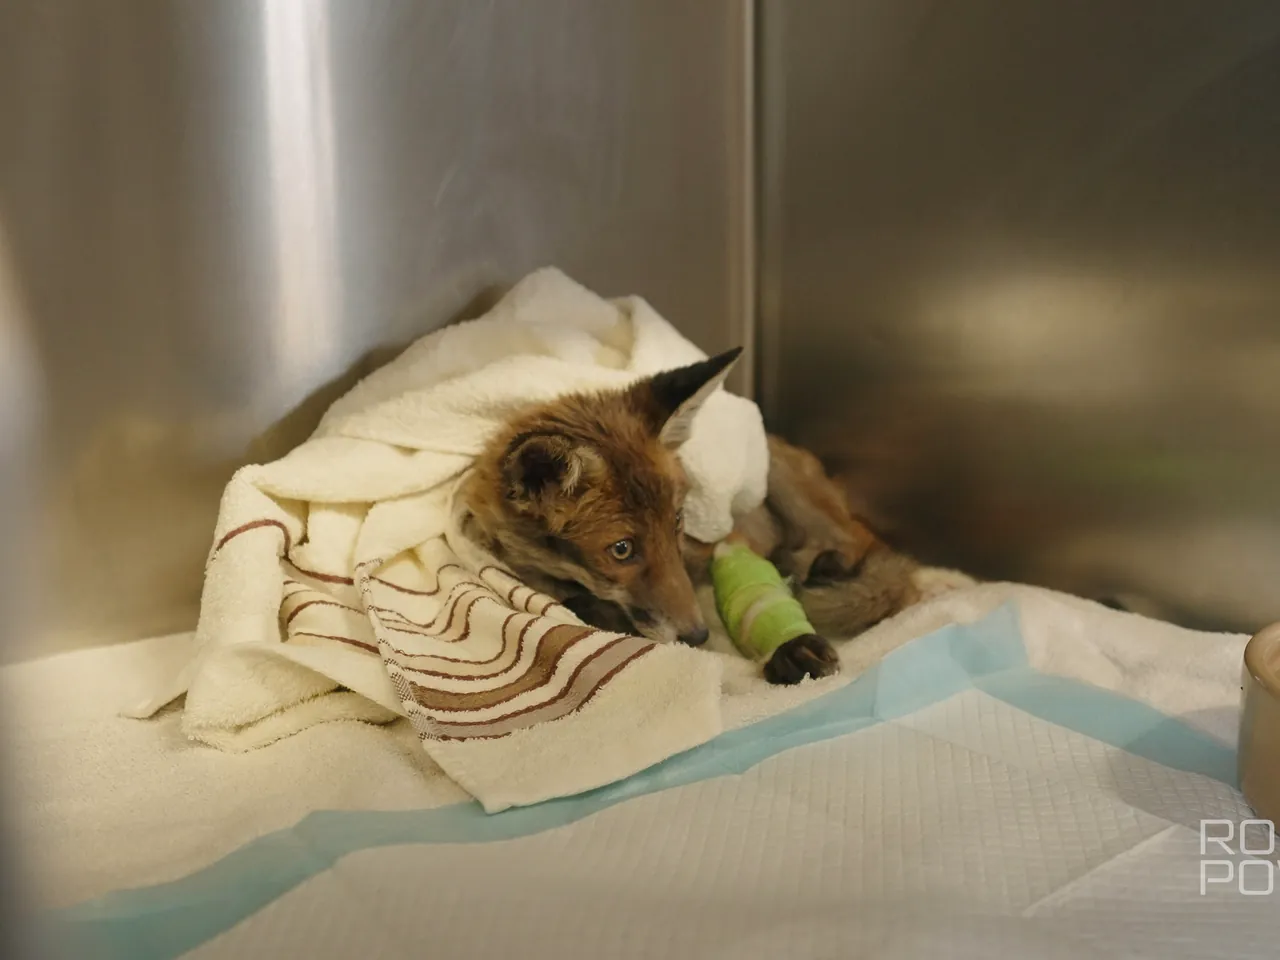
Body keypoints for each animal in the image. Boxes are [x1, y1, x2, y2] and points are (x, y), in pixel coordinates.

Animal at [457, 346, 933, 685]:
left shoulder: (728, 540)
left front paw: (788, 645)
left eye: (677, 523)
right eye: (622, 549)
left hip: (785, 484)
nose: (698, 636)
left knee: (867, 554)